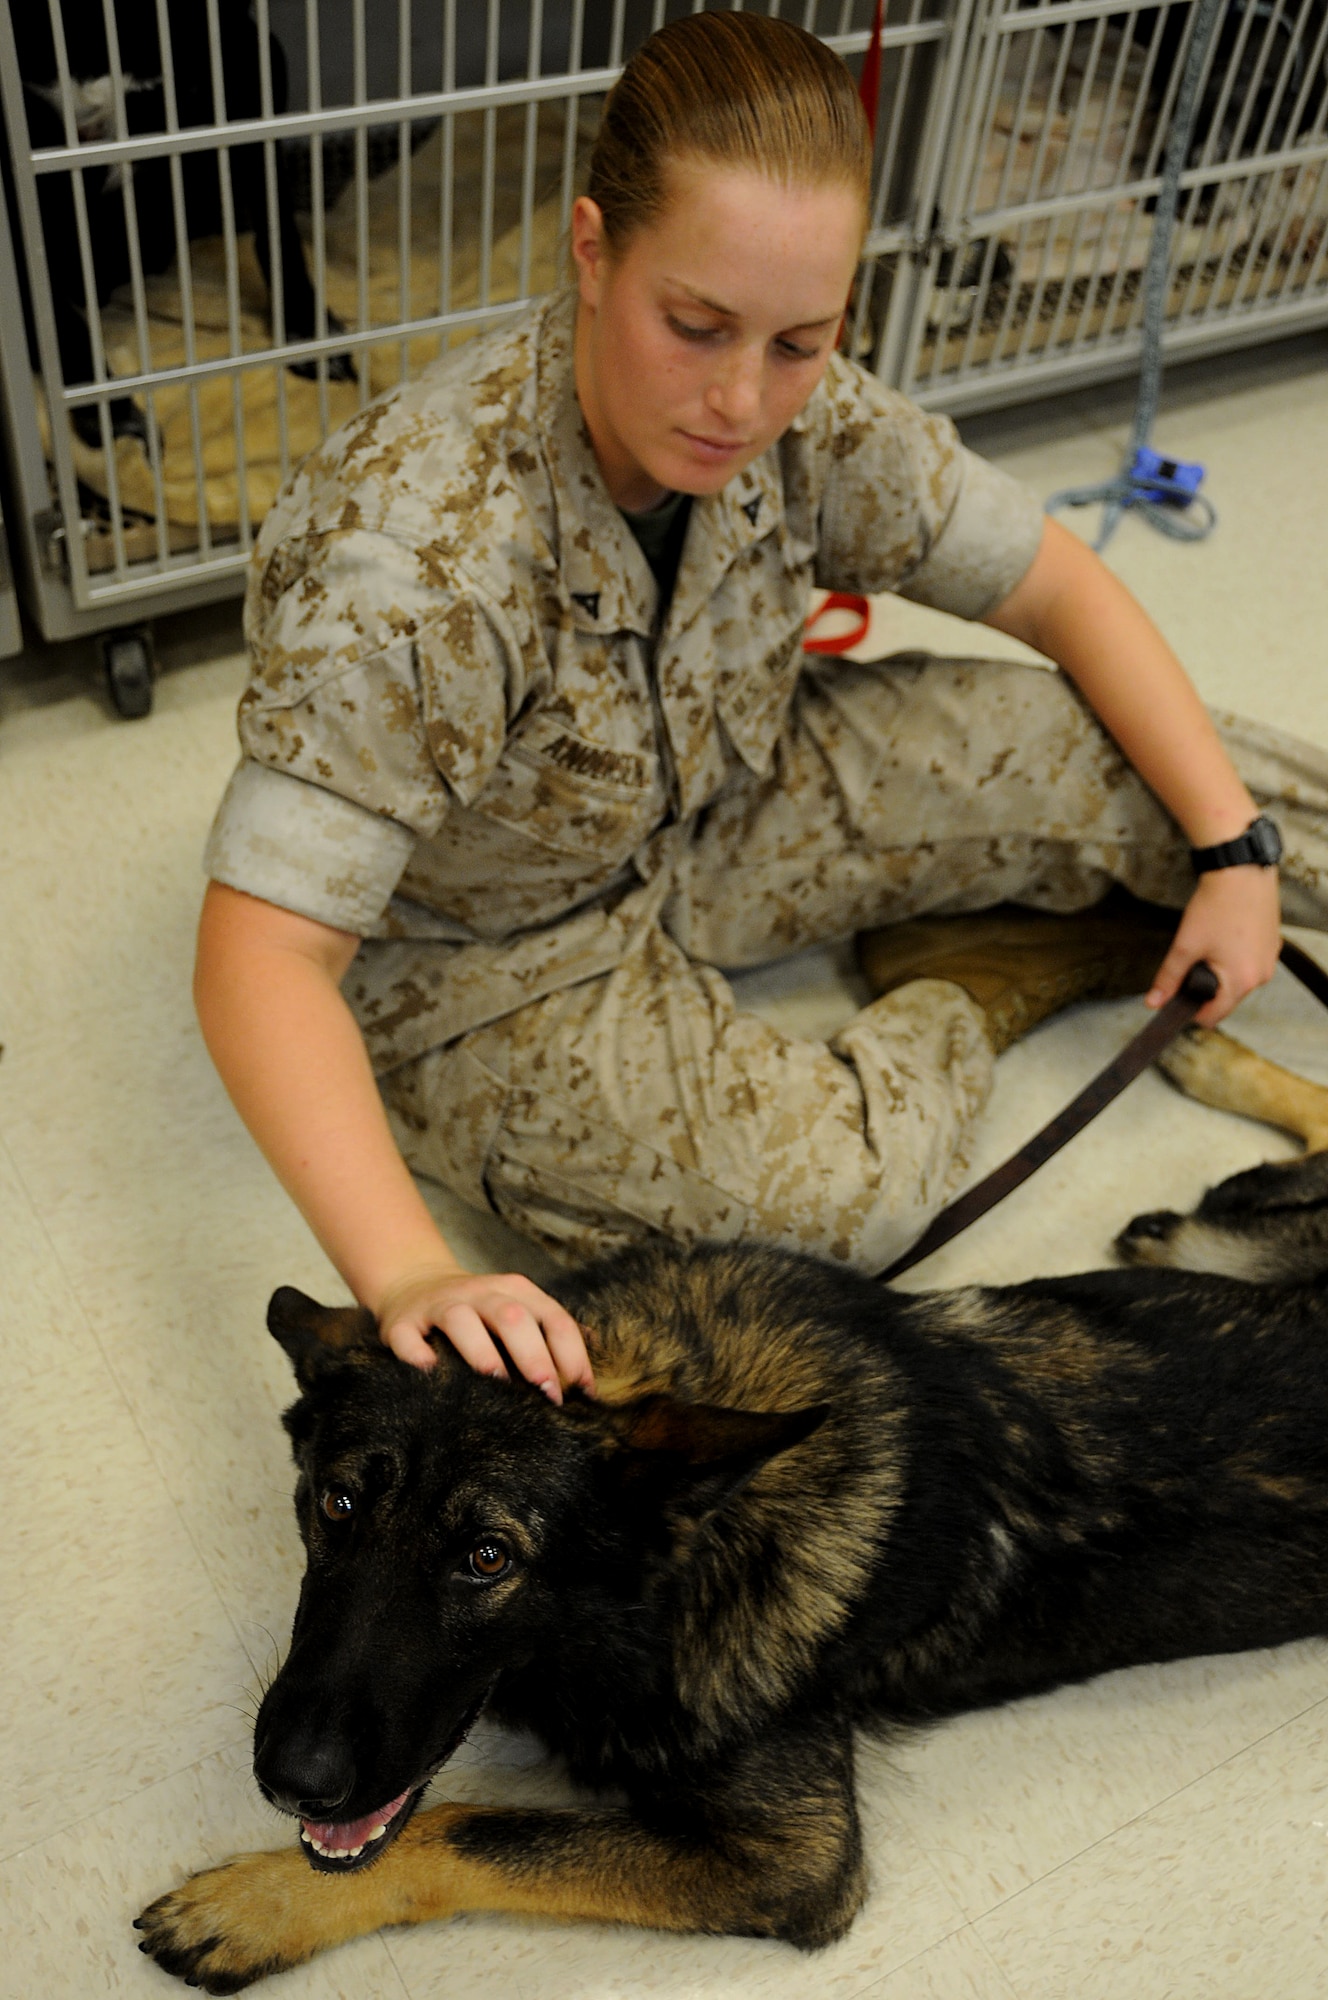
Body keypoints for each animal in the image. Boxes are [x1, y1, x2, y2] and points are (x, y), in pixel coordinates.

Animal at [137, 1024, 1328, 1992]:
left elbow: (473, 1830)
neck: (672, 1565)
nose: (292, 1780)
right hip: (1226, 1238)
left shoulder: (790, 1859)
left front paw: (258, 1903)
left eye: (487, 1557)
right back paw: (1211, 1049)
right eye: (335, 1502)